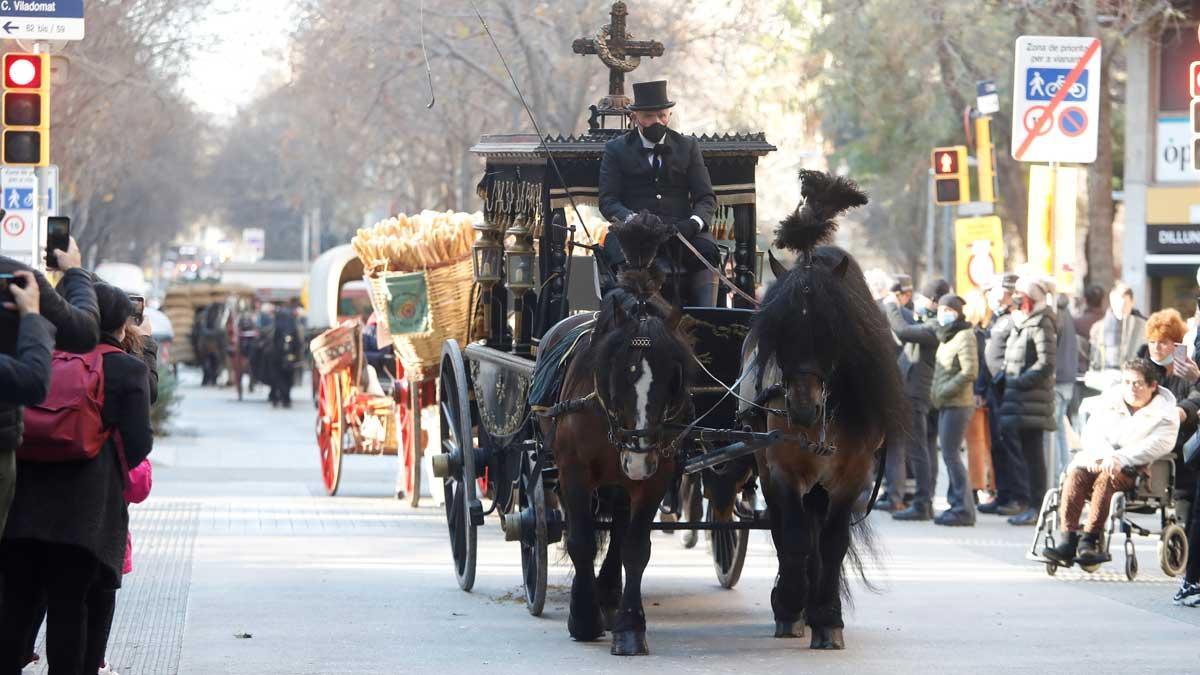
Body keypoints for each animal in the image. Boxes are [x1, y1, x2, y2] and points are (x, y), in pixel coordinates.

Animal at [542, 210, 700, 653]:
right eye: (617, 372)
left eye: (673, 377)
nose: (638, 454)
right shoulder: (572, 471)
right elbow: (579, 539)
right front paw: (583, 616)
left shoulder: (656, 477)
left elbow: (634, 548)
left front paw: (630, 626)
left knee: (615, 531)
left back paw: (610, 596)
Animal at [739, 170, 907, 648]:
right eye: (777, 328)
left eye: (832, 329)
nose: (801, 408)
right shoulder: (780, 469)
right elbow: (793, 537)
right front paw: (791, 606)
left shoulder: (853, 476)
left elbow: (832, 543)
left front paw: (827, 617)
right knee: (784, 530)